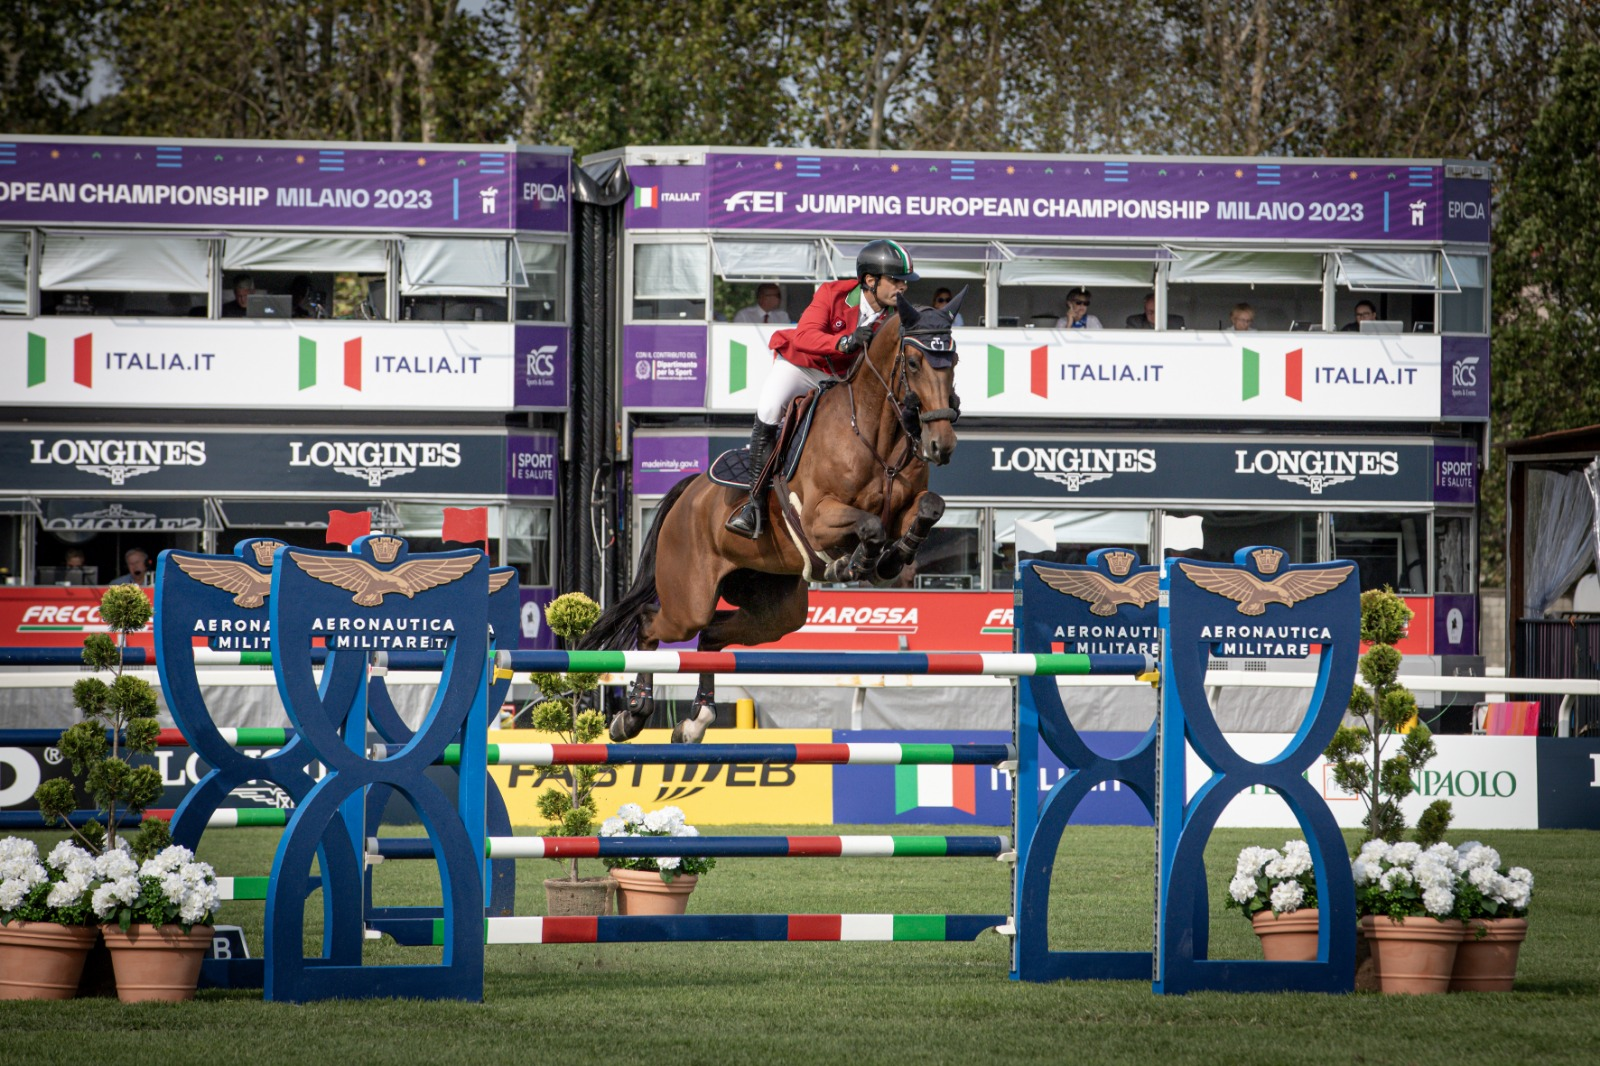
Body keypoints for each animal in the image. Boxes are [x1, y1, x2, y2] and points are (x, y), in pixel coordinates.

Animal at [585, 288, 960, 739]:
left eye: (954, 361)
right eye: (914, 362)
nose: (942, 444)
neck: (876, 431)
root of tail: (688, 493)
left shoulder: (906, 506)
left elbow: (929, 507)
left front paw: (892, 558)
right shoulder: (818, 518)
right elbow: (868, 526)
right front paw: (853, 564)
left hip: (776, 608)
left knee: (711, 633)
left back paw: (696, 720)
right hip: (688, 599)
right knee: (651, 622)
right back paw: (633, 715)